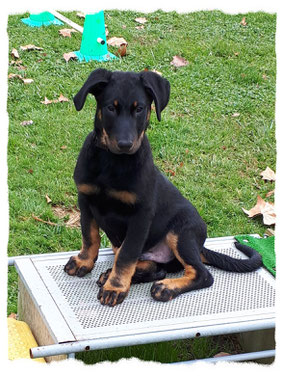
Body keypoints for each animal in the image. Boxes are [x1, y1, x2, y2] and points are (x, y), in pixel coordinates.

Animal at [64, 69, 264, 306]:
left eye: (139, 108)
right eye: (111, 108)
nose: (125, 144)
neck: (112, 163)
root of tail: (200, 245)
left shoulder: (141, 215)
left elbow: (126, 255)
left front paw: (115, 287)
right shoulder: (85, 199)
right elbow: (90, 236)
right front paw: (83, 262)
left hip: (181, 233)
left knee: (201, 274)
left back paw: (165, 287)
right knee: (154, 267)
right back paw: (116, 275)